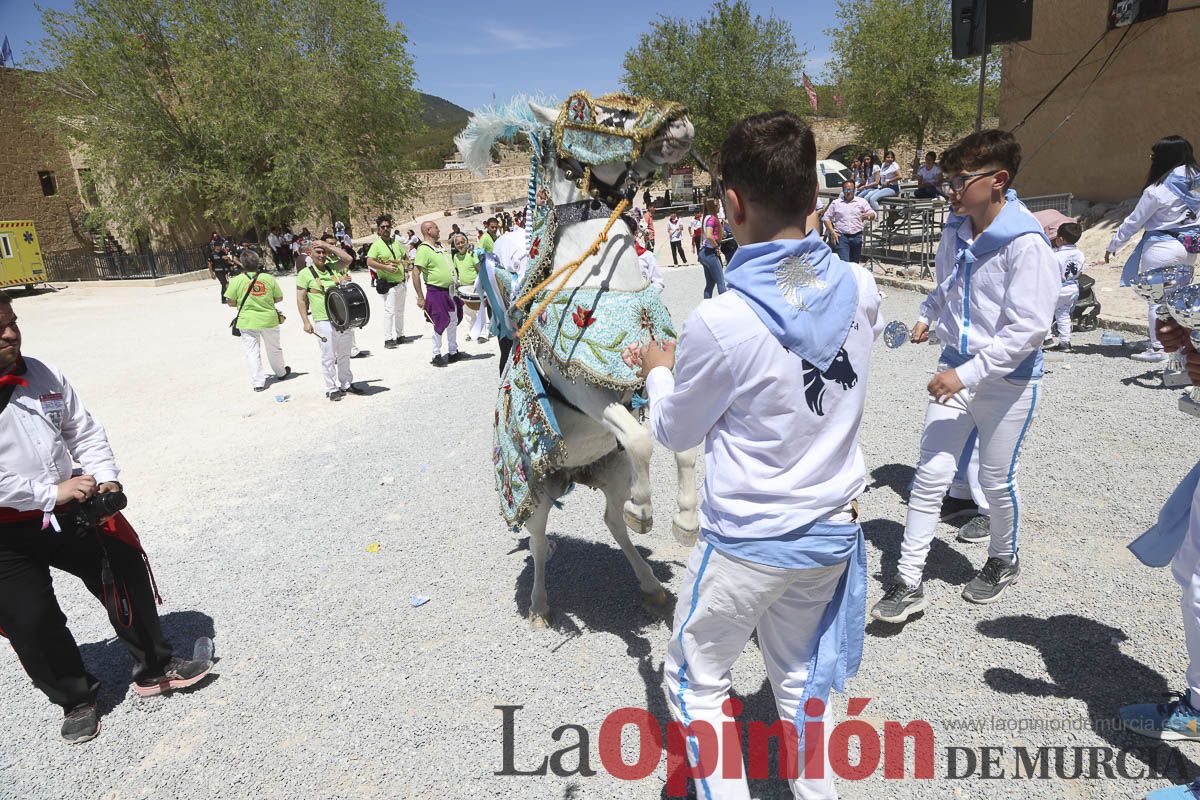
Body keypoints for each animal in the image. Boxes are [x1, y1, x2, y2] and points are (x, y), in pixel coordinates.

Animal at [458, 97, 700, 628]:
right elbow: (642, 438)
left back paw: (650, 584)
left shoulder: (658, 369)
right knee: (539, 545)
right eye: (603, 115)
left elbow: (684, 444)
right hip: (537, 496)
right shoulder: (588, 389)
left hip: (609, 470)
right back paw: (539, 607)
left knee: (611, 522)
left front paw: (685, 518)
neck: (606, 285)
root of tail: (571, 478)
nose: (680, 122)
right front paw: (647, 510)